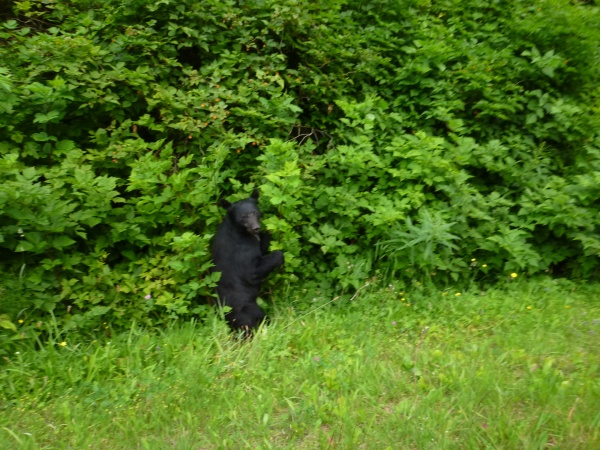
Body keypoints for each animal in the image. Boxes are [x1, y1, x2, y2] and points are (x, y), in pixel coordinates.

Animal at [212, 188, 284, 332]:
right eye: (243, 217)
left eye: (255, 212)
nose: (256, 228)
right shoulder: (242, 248)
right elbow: (252, 272)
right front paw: (279, 256)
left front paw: (266, 235)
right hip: (245, 309)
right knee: (256, 319)